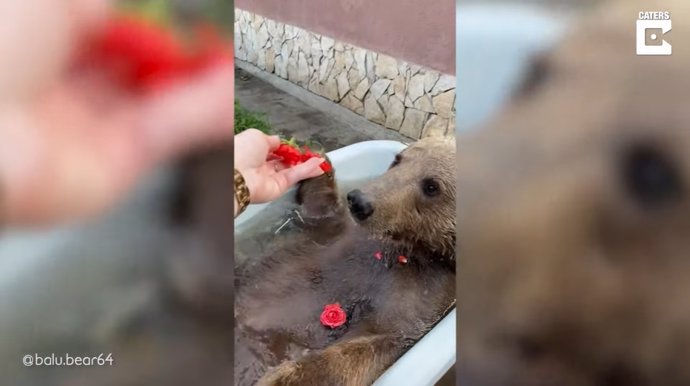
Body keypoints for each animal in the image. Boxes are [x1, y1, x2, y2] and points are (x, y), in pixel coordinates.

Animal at [236, 134, 456, 384]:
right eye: (398, 159)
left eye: (431, 186)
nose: (360, 200)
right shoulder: (342, 229)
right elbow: (322, 209)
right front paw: (316, 159)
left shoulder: (424, 295)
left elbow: (377, 343)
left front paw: (283, 377)